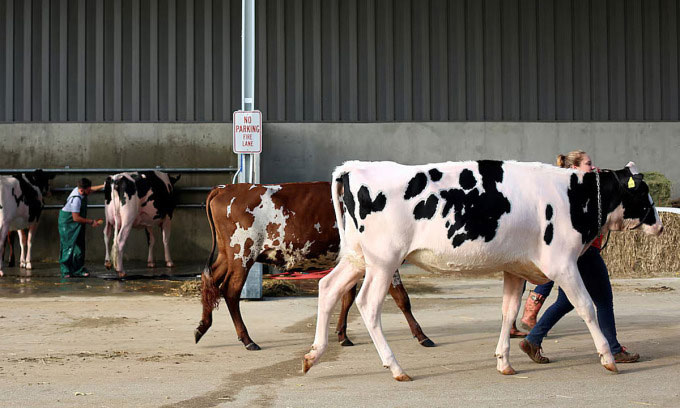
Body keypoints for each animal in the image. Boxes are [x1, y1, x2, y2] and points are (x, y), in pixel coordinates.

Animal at [197, 182, 432, 350]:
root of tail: (224, 188)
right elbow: (402, 298)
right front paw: (422, 335)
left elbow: (347, 297)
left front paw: (342, 335)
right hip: (242, 254)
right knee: (231, 291)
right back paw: (247, 339)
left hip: (227, 255)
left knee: (210, 279)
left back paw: (202, 326)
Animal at [304, 159, 664, 380]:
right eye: (644, 192)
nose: (660, 225)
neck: (575, 196)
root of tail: (356, 167)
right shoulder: (562, 263)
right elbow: (587, 307)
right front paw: (608, 359)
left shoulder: (516, 268)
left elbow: (509, 312)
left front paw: (504, 362)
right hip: (383, 260)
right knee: (367, 304)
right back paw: (395, 368)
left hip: (357, 258)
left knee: (328, 288)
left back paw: (313, 355)